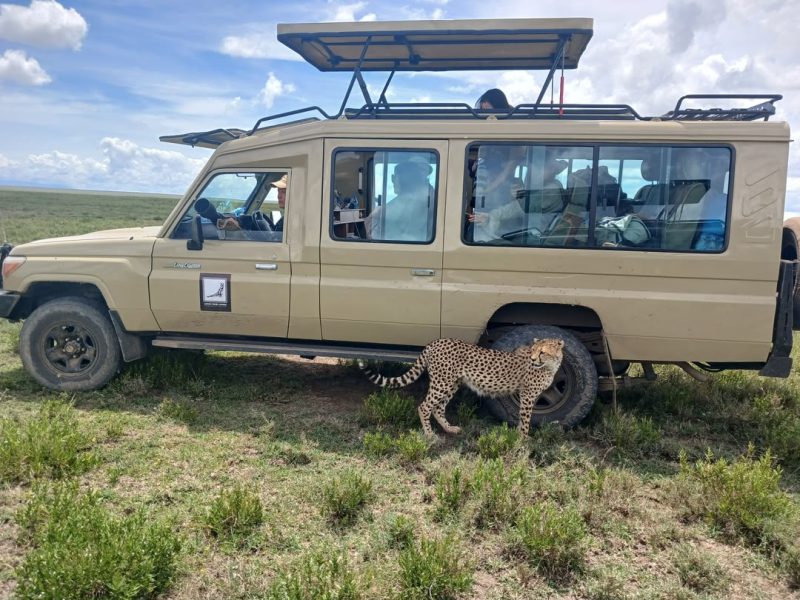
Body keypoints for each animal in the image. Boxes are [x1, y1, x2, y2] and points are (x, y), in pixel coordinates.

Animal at [359, 338, 564, 436]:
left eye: (542, 352)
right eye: (533, 351)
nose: (533, 359)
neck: (549, 366)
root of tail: (436, 341)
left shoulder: (527, 395)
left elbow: (522, 416)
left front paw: (520, 434)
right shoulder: (528, 394)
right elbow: (526, 417)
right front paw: (524, 438)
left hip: (452, 383)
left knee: (438, 408)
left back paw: (449, 429)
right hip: (442, 382)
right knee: (424, 406)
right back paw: (429, 434)